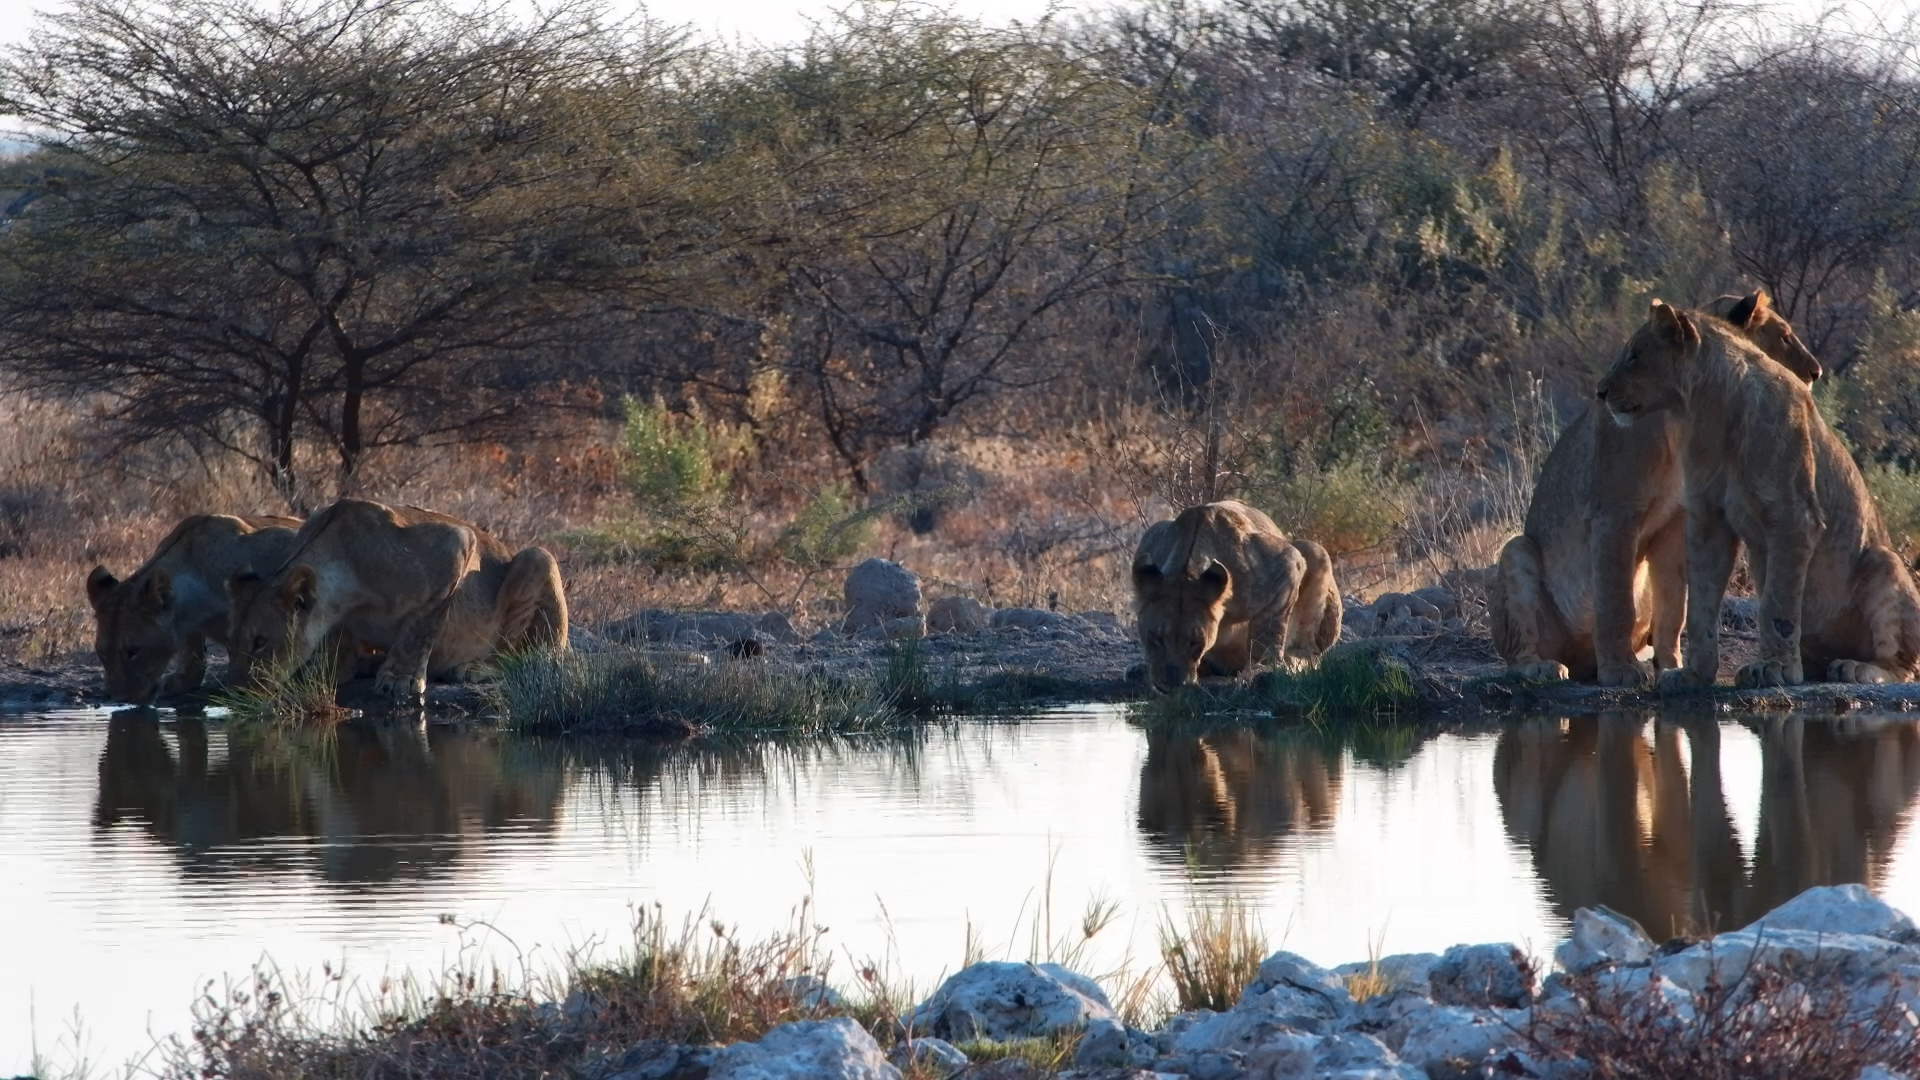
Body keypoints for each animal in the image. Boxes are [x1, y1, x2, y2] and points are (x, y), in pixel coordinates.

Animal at [225, 499, 568, 705]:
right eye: (231, 644)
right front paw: (328, 669)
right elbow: (338, 640)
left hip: (537, 557)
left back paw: (474, 667)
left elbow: (420, 628)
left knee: (530, 655)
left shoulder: (455, 545)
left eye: (259, 642)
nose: (235, 693)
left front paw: (399, 679)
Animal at [1132, 500, 1341, 691]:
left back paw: (1291, 661)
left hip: (1315, 550)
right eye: (1156, 638)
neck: (1187, 570)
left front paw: (1262, 669)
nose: (1171, 684)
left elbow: (1268, 630)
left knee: (1311, 652)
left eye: (1195, 642)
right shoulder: (1149, 540)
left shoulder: (1285, 562)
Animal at [1489, 291, 1823, 686]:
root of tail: (1580, 662)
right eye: (1784, 336)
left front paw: (1673, 666)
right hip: (1517, 552)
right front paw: (1620, 670)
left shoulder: (1675, 525)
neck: (1679, 421)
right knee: (1519, 650)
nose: (1816, 372)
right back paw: (1543, 666)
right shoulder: (1614, 515)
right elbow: (1615, 601)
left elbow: (1674, 607)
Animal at [1595, 300, 1920, 689]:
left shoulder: (1794, 514)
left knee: (1903, 664)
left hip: (1883, 561)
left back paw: (1856, 668)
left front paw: (1776, 668)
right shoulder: (1708, 517)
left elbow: (1778, 604)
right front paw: (1694, 673)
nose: (1600, 391)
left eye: (1634, 354)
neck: (1707, 410)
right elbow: (1701, 606)